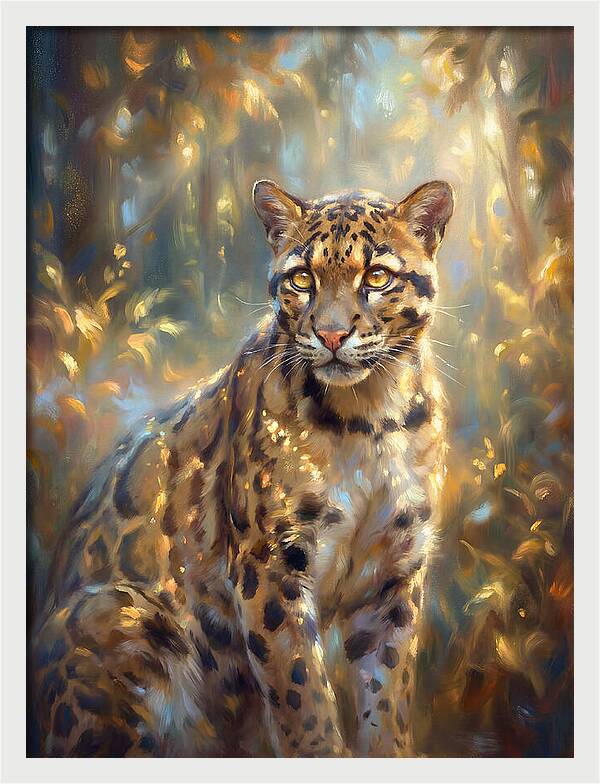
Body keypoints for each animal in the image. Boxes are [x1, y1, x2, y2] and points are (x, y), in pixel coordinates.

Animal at [31, 177, 454, 757]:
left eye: (376, 276)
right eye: (302, 278)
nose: (332, 335)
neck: (370, 419)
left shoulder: (394, 574)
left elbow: (386, 695)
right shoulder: (269, 564)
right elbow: (302, 696)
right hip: (120, 614)